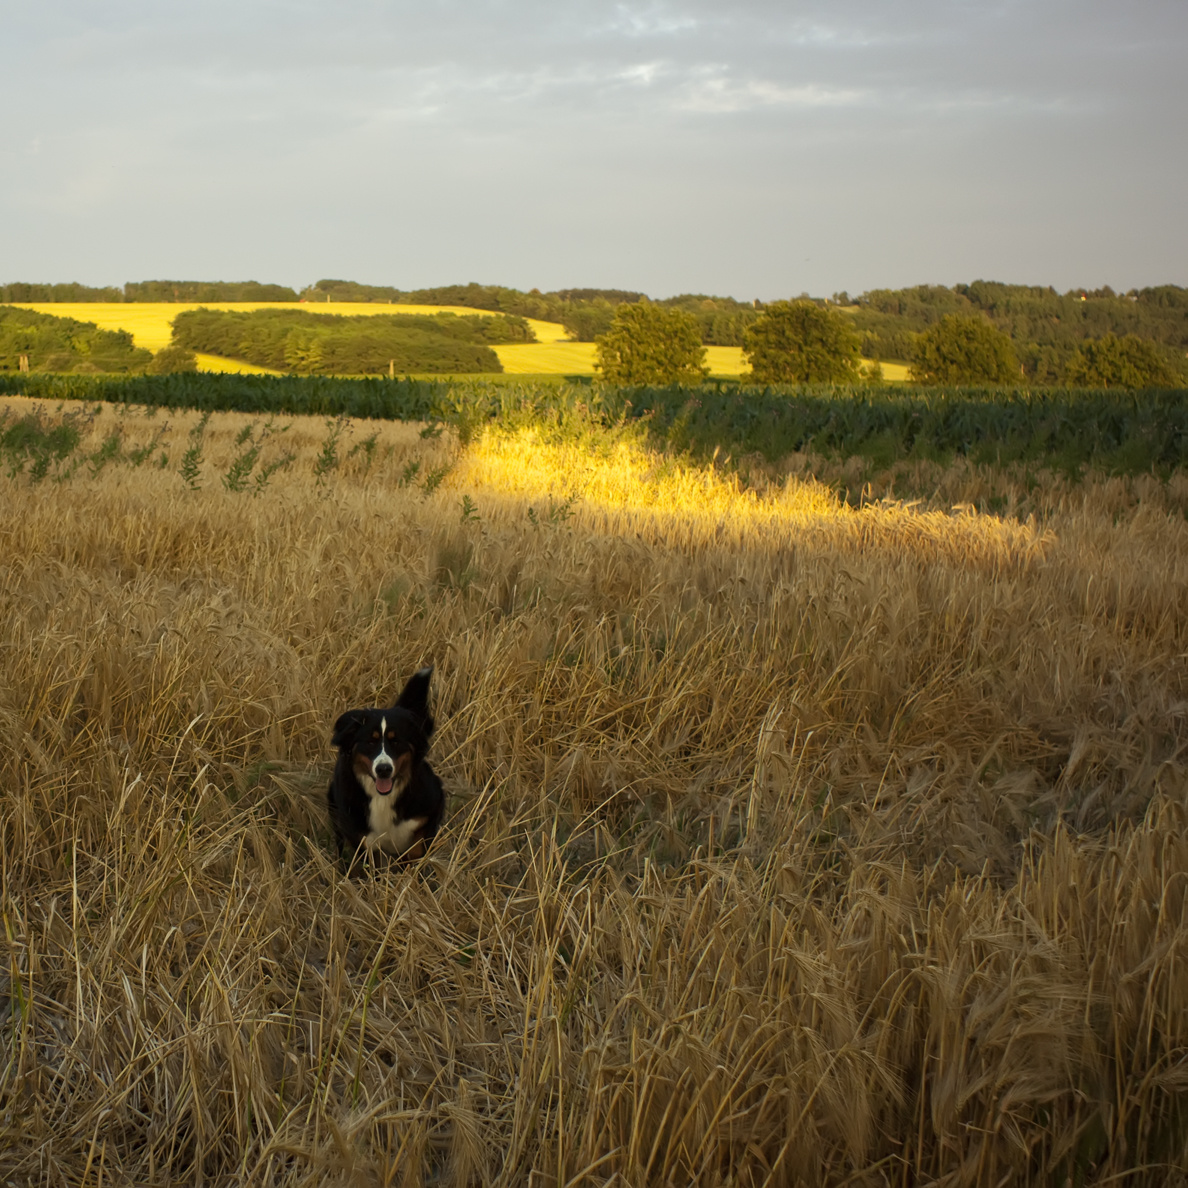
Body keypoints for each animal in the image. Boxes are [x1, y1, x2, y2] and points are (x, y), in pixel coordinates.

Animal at [325, 665, 446, 869]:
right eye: (370, 742)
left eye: (396, 741)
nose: (383, 769)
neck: (383, 798)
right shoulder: (359, 834)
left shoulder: (431, 807)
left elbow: (417, 848)